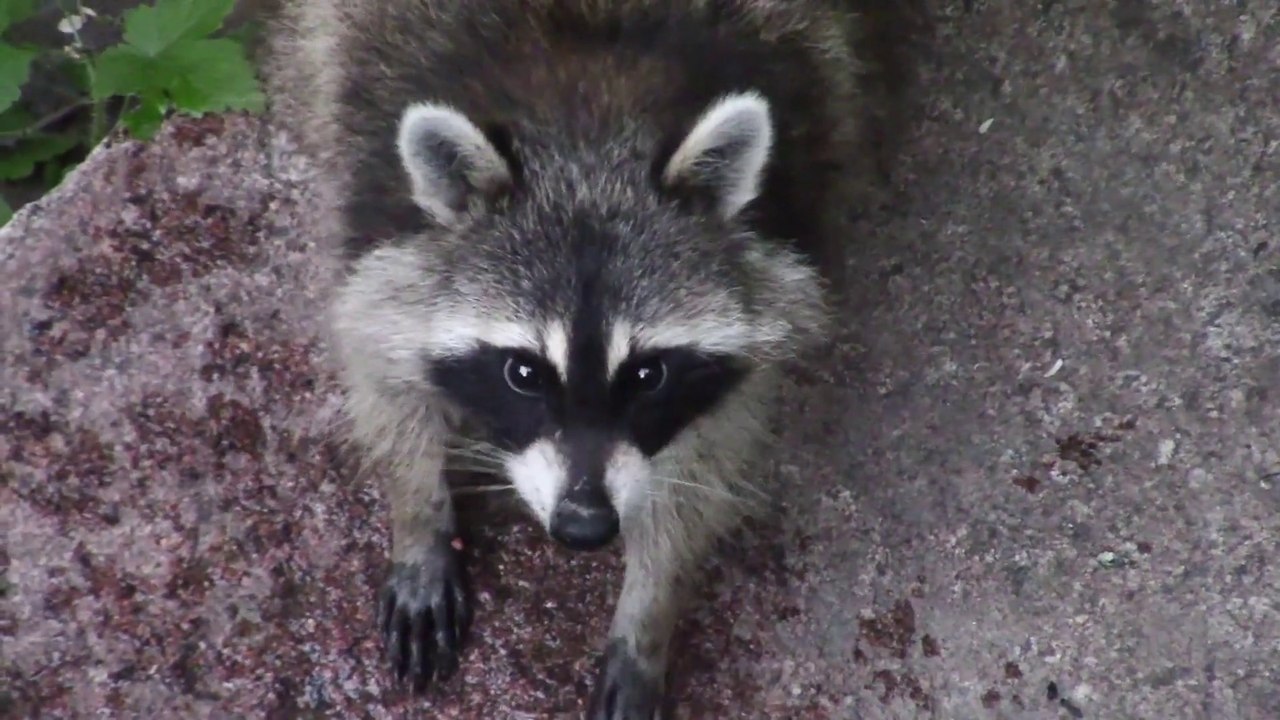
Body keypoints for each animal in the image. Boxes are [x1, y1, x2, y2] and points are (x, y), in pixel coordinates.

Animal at [262, 1, 871, 716]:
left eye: (647, 374)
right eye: (524, 373)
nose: (584, 527)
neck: (587, 143)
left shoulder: (765, 296)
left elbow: (705, 464)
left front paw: (649, 610)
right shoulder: (367, 192)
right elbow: (382, 367)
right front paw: (418, 515)